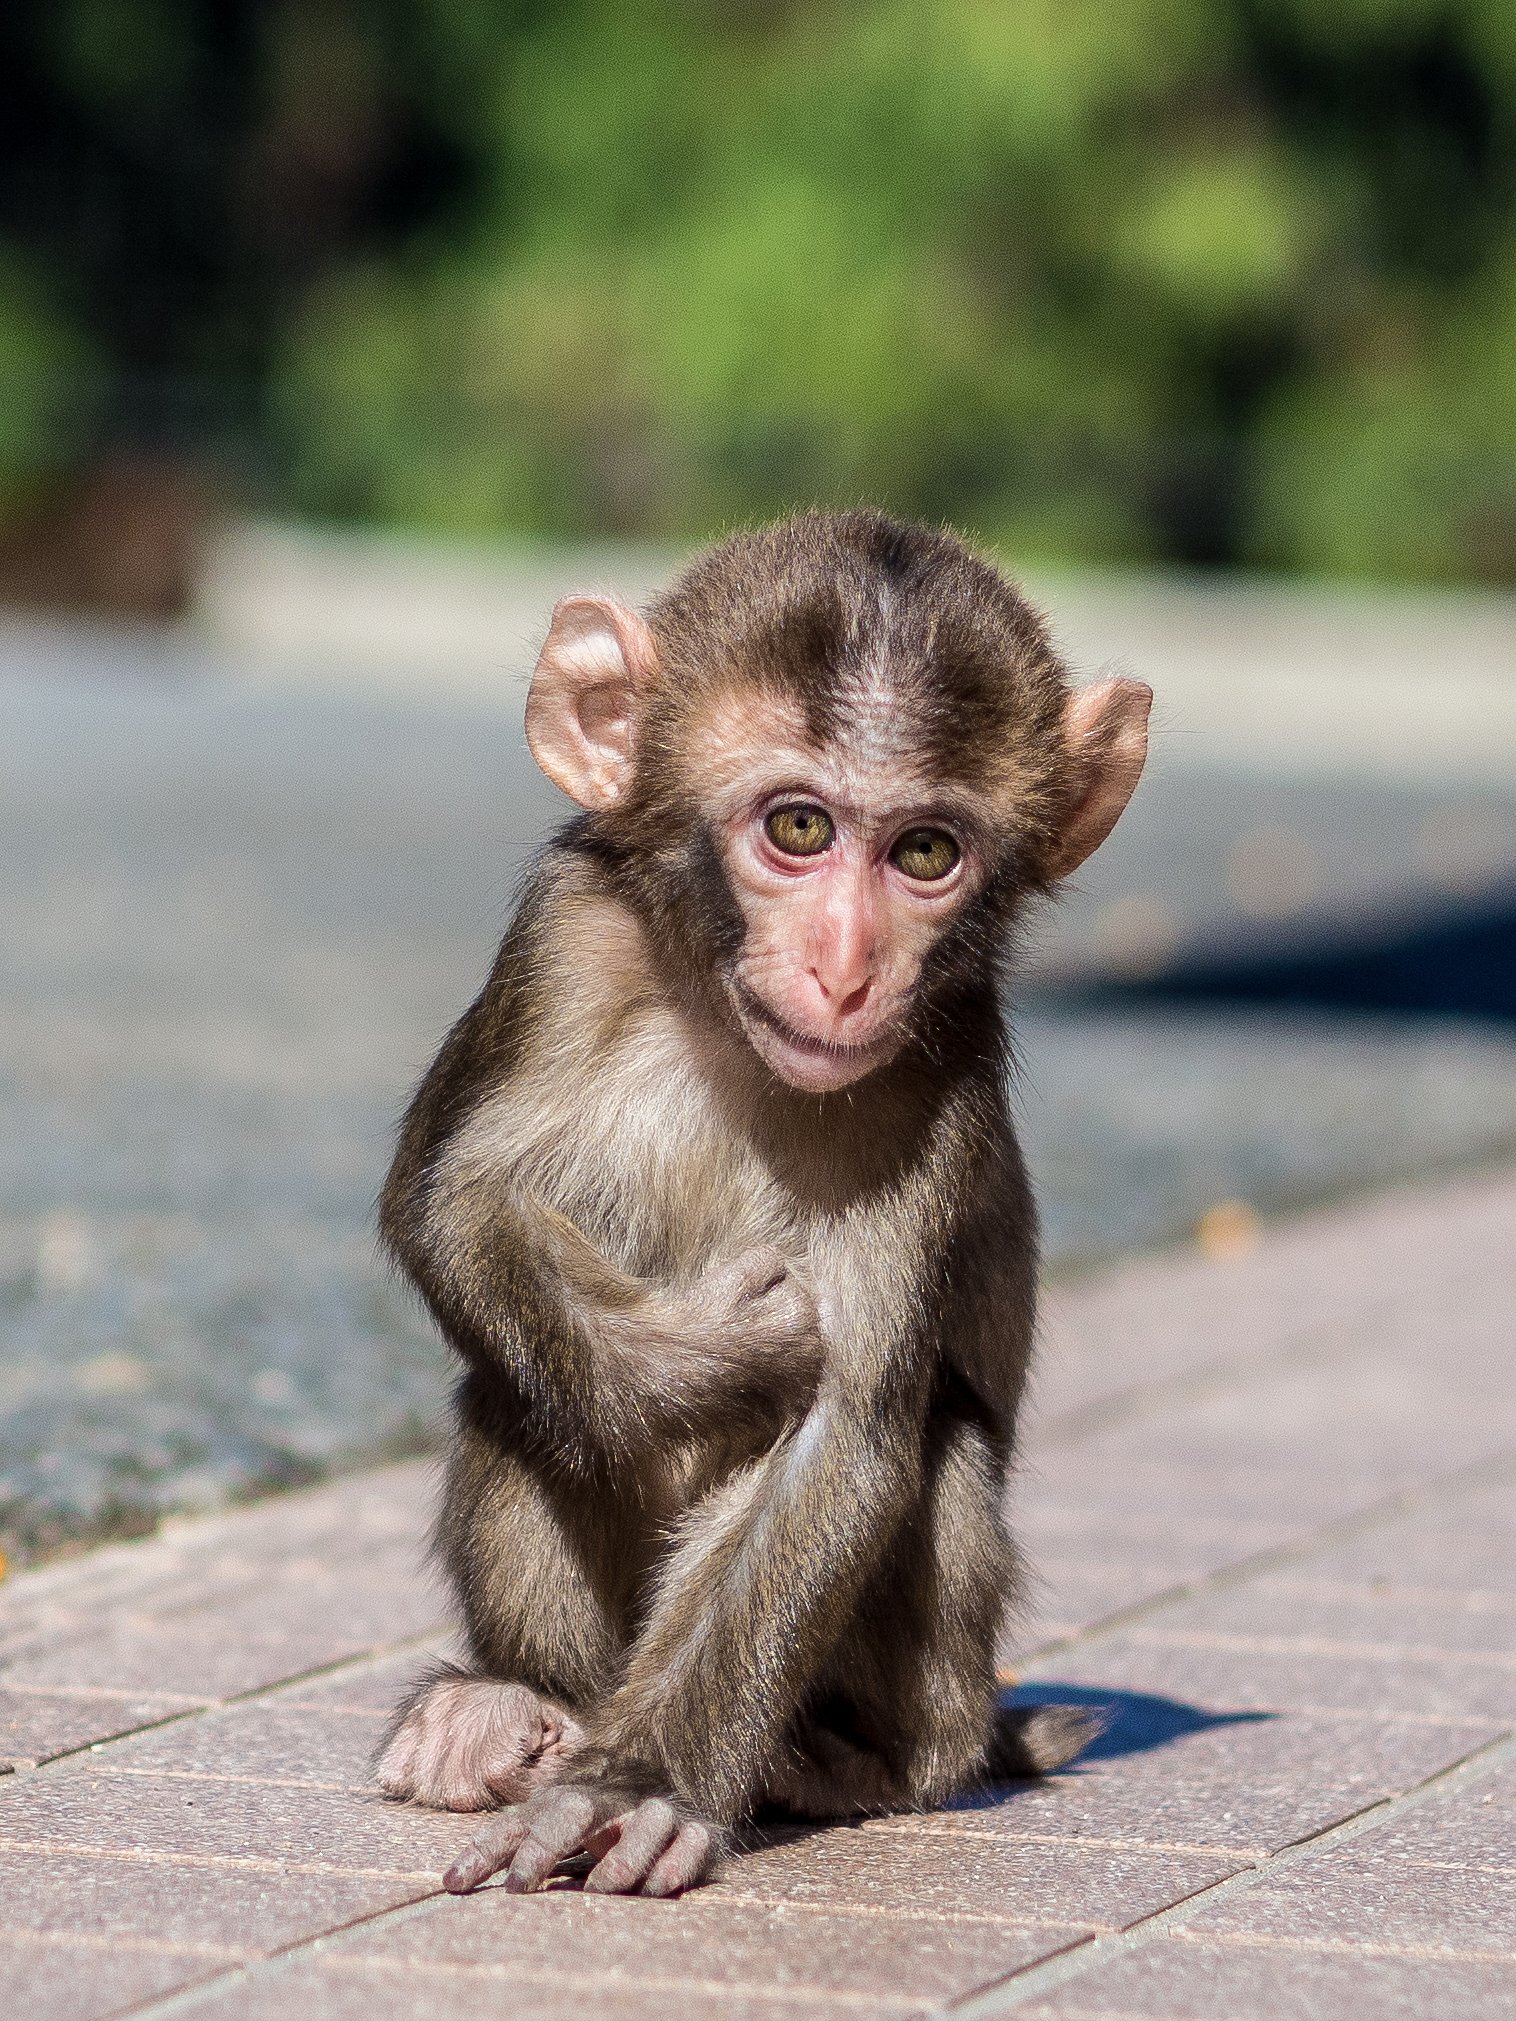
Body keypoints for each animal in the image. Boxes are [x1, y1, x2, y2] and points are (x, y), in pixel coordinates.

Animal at [374, 509, 1150, 1899]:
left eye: (926, 852)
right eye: (796, 826)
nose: (846, 968)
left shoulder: (937, 1069)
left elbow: (843, 1434)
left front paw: (638, 1784)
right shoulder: (566, 932)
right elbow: (451, 1198)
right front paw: (717, 1353)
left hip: (946, 1698)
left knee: (939, 1448)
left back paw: (841, 1765)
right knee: (516, 1389)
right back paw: (511, 1707)